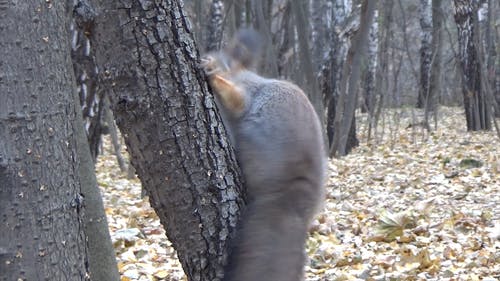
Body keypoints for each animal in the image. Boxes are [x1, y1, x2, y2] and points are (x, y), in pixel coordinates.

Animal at [201, 29, 326, 280]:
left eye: (220, 57)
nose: (206, 57)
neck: (240, 72)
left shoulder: (244, 94)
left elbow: (234, 98)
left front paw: (213, 73)